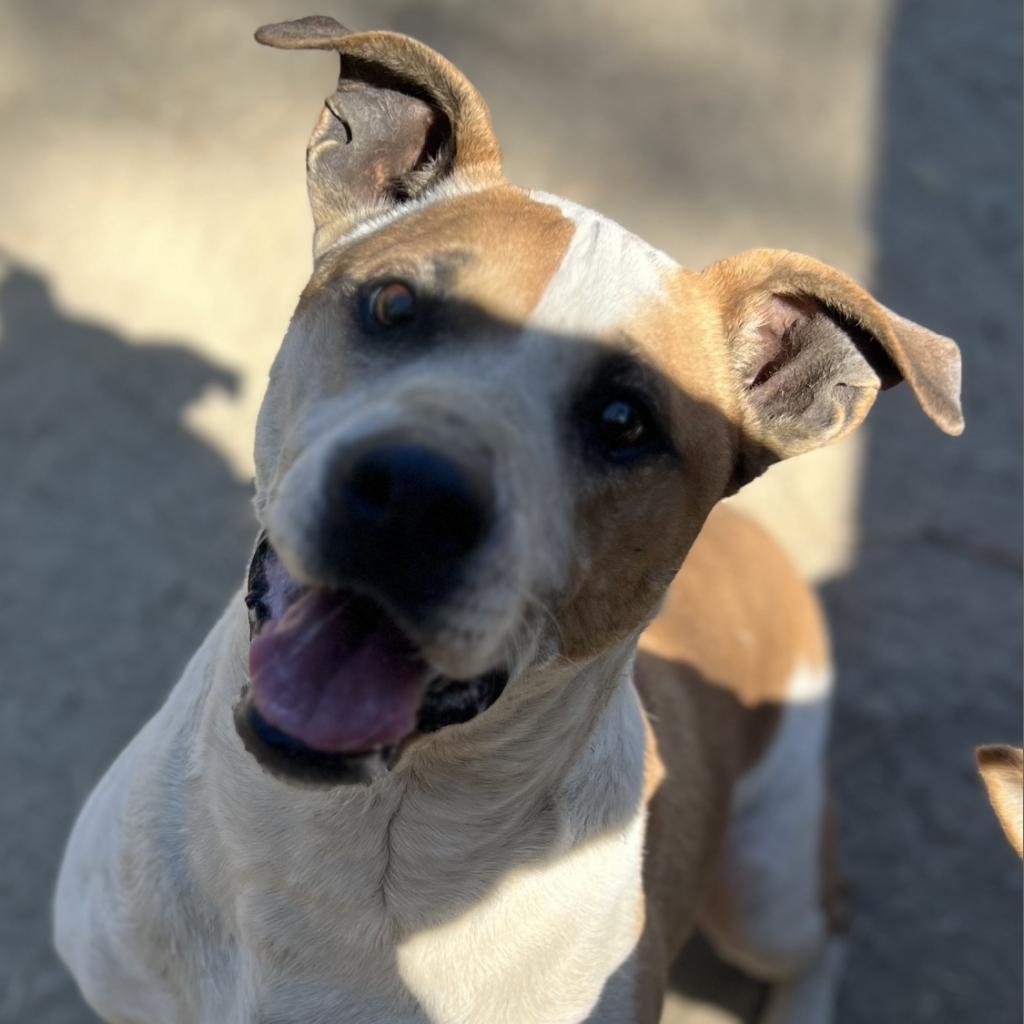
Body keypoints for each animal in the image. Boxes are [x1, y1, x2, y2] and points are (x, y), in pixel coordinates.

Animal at [54, 18, 966, 1024]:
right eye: (395, 303)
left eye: (625, 420)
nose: (415, 498)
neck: (346, 843)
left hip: (766, 881)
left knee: (827, 919)